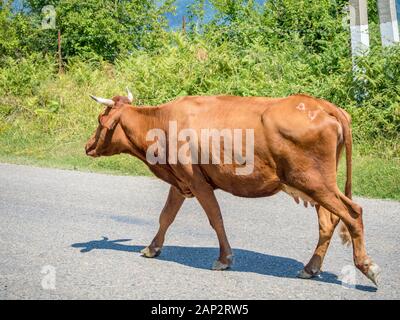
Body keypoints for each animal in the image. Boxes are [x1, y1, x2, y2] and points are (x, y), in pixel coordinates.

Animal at [85, 89, 382, 286]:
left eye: (100, 121)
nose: (87, 145)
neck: (161, 123)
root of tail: (320, 104)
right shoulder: (181, 182)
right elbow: (166, 216)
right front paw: (152, 248)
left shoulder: (197, 182)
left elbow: (215, 218)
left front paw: (225, 258)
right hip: (316, 185)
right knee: (328, 222)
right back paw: (310, 268)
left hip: (316, 182)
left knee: (352, 212)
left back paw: (366, 266)